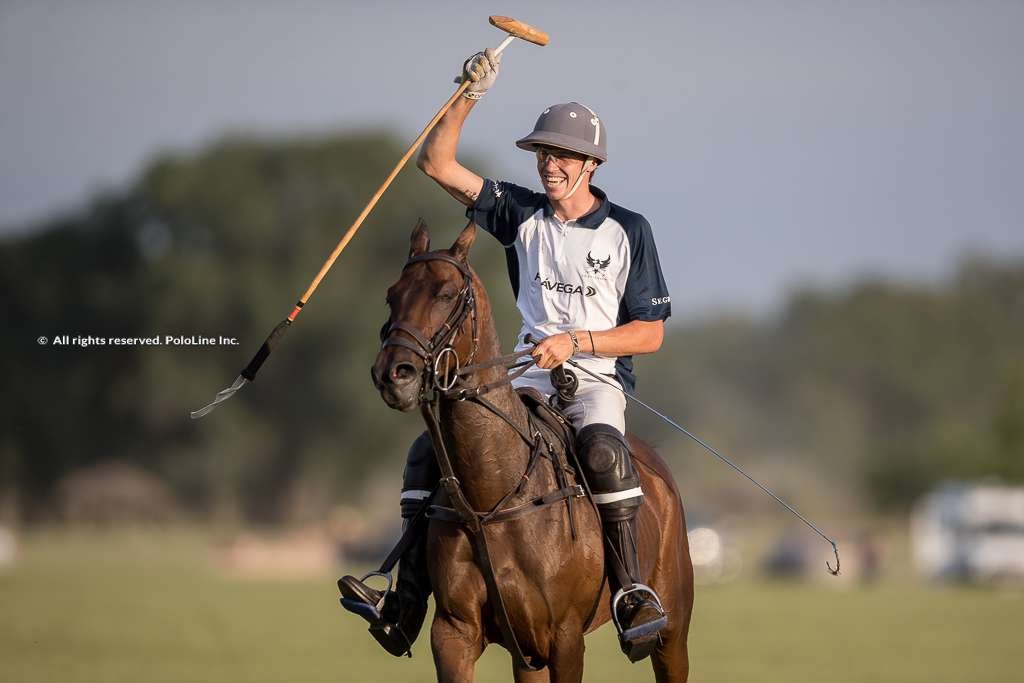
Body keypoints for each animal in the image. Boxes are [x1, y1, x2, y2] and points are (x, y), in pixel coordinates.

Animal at [370, 220, 696, 683]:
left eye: (446, 294)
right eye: (391, 295)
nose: (393, 374)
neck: (491, 498)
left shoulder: (564, 637)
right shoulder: (455, 632)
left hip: (673, 630)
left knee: (604, 455)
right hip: (528, 656)